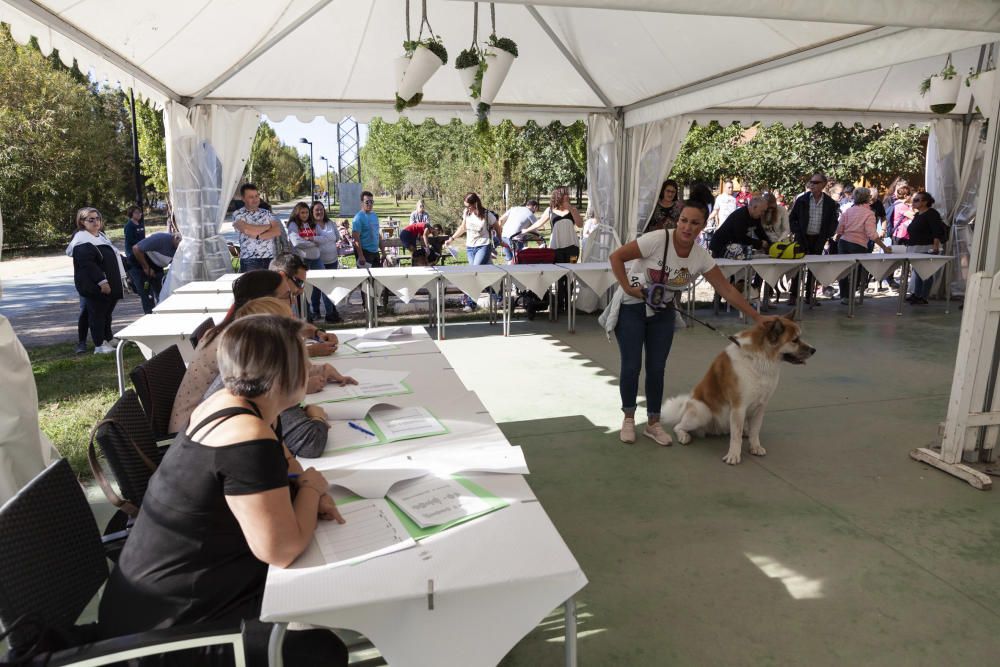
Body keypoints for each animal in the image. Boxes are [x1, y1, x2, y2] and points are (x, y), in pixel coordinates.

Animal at [664, 318, 812, 464]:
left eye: (799, 338)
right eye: (795, 340)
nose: (813, 350)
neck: (758, 359)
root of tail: (685, 406)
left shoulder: (760, 407)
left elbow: (755, 431)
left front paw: (755, 447)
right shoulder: (739, 407)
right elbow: (736, 437)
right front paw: (733, 455)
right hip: (702, 412)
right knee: (678, 426)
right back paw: (684, 436)